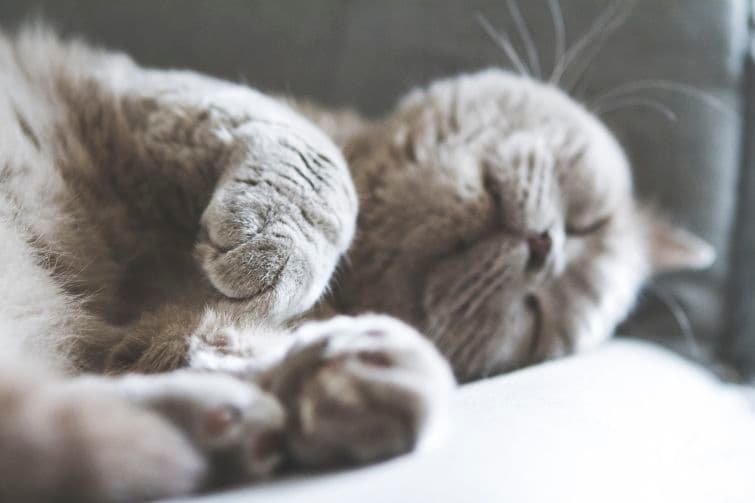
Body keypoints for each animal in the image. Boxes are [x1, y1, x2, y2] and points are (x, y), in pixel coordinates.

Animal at [0, 25, 716, 502]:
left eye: (536, 318)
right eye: (588, 217)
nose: (546, 248)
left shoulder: (159, 336)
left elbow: (210, 341)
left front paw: (351, 377)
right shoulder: (137, 88)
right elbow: (314, 153)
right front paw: (281, 248)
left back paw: (223, 424)